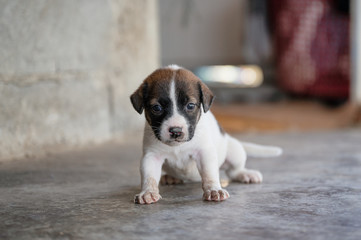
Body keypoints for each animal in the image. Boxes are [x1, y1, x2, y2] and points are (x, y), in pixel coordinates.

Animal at [129, 64, 282, 203]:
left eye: (190, 105)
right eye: (157, 108)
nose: (176, 131)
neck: (178, 146)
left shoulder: (204, 153)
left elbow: (209, 174)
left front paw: (214, 189)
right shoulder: (151, 156)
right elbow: (149, 177)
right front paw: (147, 192)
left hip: (234, 152)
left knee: (233, 171)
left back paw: (245, 174)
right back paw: (172, 177)